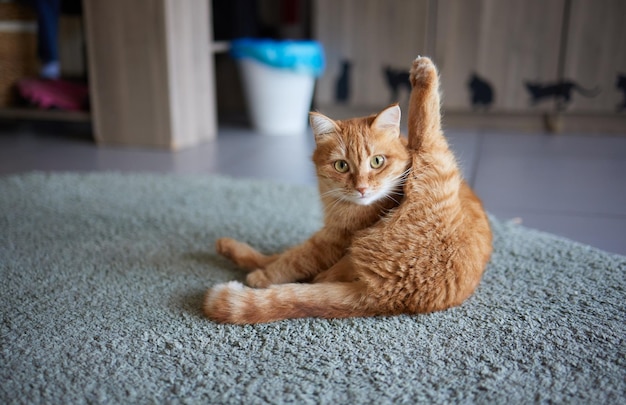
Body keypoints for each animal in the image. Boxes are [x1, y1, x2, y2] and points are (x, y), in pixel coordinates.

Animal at [202, 56, 490, 322]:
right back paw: (230, 249)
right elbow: (283, 256)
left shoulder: (332, 240)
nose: (362, 187)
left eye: (377, 162)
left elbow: (291, 261)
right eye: (341, 166)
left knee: (426, 122)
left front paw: (263, 277)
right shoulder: (331, 238)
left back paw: (423, 71)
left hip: (437, 157)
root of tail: (389, 296)